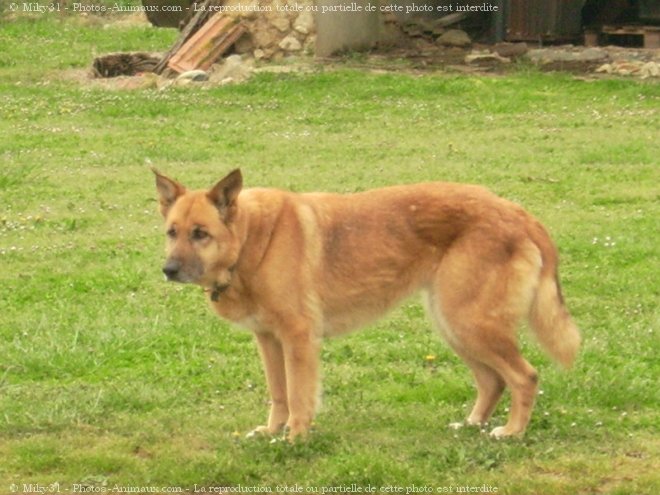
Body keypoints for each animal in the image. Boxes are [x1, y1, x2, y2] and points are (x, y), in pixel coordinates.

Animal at [152, 169, 580, 440]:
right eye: (172, 232)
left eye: (201, 234)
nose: (168, 270)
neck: (252, 240)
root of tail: (517, 212)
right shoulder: (269, 341)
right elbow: (279, 393)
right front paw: (272, 431)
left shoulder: (298, 340)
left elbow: (299, 396)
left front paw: (294, 440)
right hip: (455, 325)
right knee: (493, 381)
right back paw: (473, 425)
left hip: (469, 323)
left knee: (525, 376)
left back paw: (512, 432)